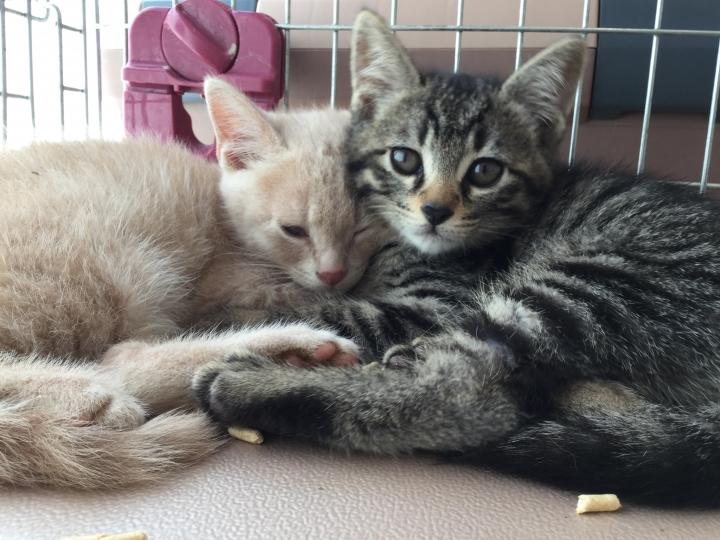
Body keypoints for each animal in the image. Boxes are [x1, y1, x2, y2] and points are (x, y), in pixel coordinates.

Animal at [0, 78, 373, 489]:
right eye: (293, 230)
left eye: (362, 228)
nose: (332, 273)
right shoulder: (226, 283)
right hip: (108, 268)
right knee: (114, 359)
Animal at [194, 11, 720, 505]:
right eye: (404, 159)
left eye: (485, 172)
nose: (435, 210)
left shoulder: (432, 304)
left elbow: (330, 310)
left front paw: (222, 312)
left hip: (595, 281)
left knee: (471, 393)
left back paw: (249, 386)